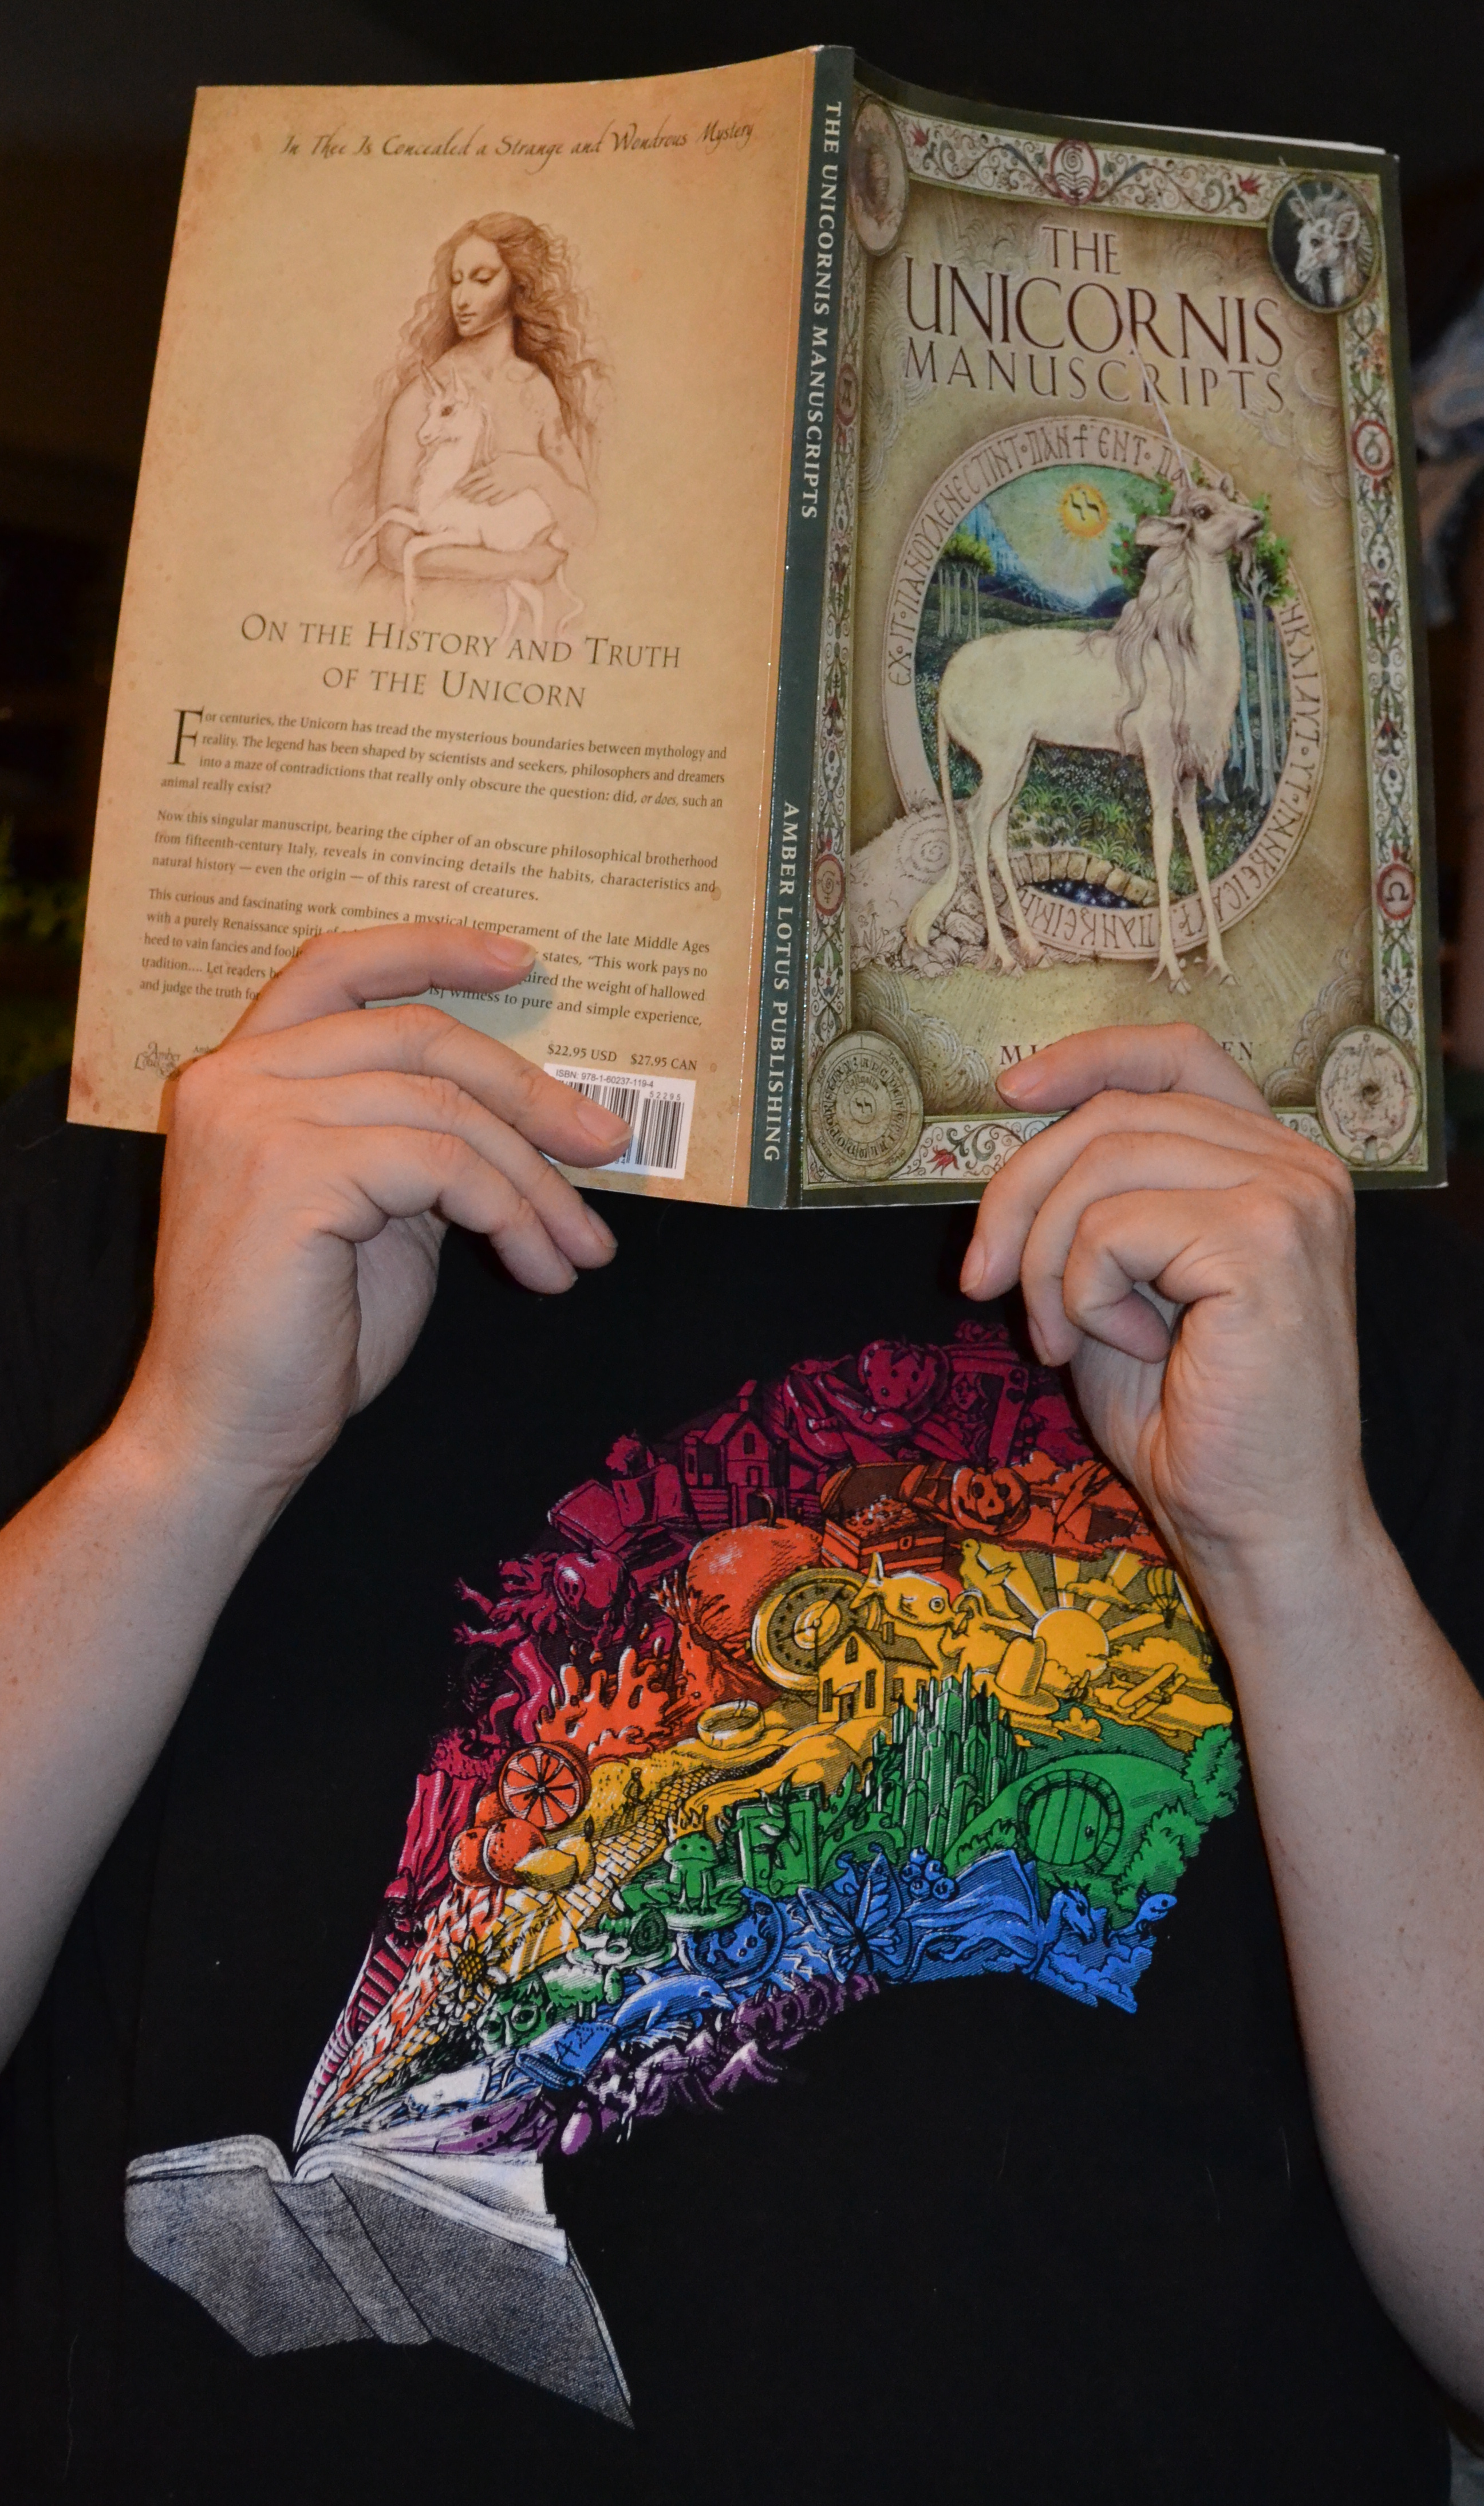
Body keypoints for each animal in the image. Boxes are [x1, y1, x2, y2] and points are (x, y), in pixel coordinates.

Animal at [342, 365, 581, 641]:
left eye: (447, 410)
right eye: (429, 408)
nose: (422, 436)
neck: (449, 491)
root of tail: (555, 525)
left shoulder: (462, 536)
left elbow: (410, 546)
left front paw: (409, 615)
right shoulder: (423, 523)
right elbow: (388, 515)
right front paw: (349, 558)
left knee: (536, 600)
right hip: (512, 570)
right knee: (522, 601)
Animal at [905, 466, 1262, 991]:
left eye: (1229, 499)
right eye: (1202, 512)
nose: (1257, 519)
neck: (1191, 665)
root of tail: (946, 685)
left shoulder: (1187, 773)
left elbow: (1196, 846)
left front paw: (1220, 965)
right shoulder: (1157, 755)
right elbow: (1162, 840)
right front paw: (1172, 969)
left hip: (1022, 759)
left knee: (996, 831)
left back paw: (1034, 950)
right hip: (1002, 759)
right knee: (974, 820)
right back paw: (1006, 958)